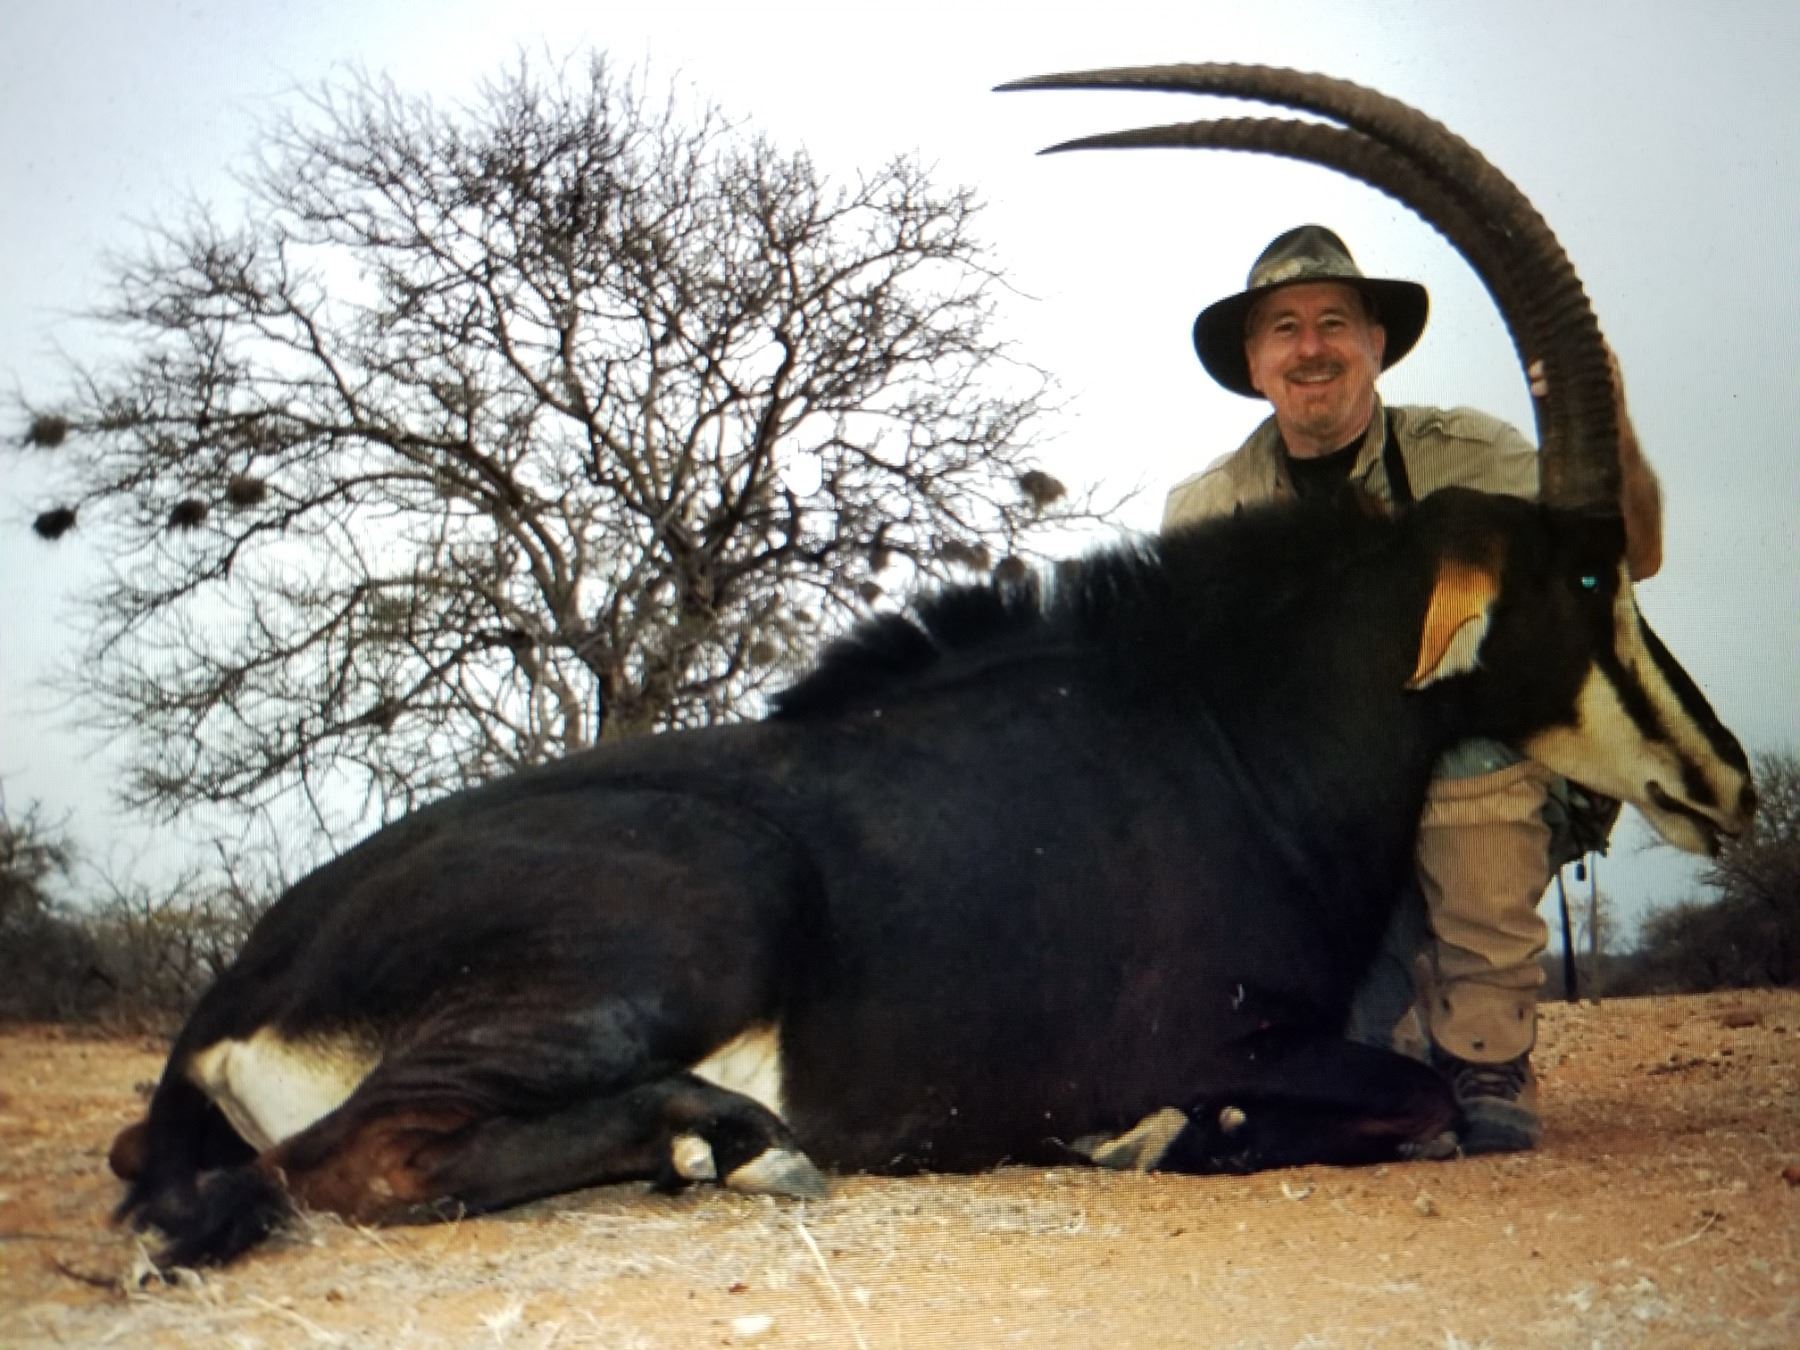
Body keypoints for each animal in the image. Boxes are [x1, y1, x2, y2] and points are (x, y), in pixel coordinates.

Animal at [110, 65, 1755, 1268]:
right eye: (1592, 575)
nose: (1728, 779)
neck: (1231, 735)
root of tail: (236, 988)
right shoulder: (1205, 1038)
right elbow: (1394, 1101)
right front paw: (1152, 1135)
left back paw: (719, 1140)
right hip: (696, 915)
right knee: (350, 1156)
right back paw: (731, 1139)